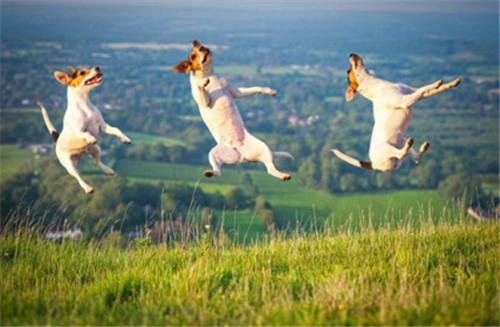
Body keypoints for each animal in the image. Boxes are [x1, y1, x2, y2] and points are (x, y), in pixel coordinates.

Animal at [39, 67, 131, 195]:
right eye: (82, 72)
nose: (97, 67)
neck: (84, 104)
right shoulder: (78, 130)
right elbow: (85, 133)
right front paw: (91, 138)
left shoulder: (102, 126)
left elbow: (116, 130)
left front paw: (125, 138)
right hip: (69, 165)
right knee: (78, 177)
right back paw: (88, 188)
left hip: (96, 149)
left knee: (96, 162)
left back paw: (108, 170)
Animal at [173, 40, 292, 182]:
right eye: (193, 56)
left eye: (199, 45)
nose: (202, 47)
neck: (208, 75)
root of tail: (242, 156)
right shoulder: (205, 102)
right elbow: (200, 88)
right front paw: (202, 84)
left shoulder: (236, 92)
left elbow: (254, 88)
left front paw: (269, 91)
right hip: (213, 154)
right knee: (218, 171)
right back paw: (210, 173)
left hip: (263, 148)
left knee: (270, 169)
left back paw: (283, 175)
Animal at [332, 53, 460, 172]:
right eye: (348, 71)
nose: (350, 54)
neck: (376, 86)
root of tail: (374, 165)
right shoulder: (405, 101)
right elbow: (423, 90)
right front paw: (437, 83)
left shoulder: (413, 92)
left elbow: (432, 89)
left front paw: (451, 83)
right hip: (387, 148)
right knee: (401, 153)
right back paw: (409, 145)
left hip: (401, 141)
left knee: (415, 157)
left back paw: (422, 147)